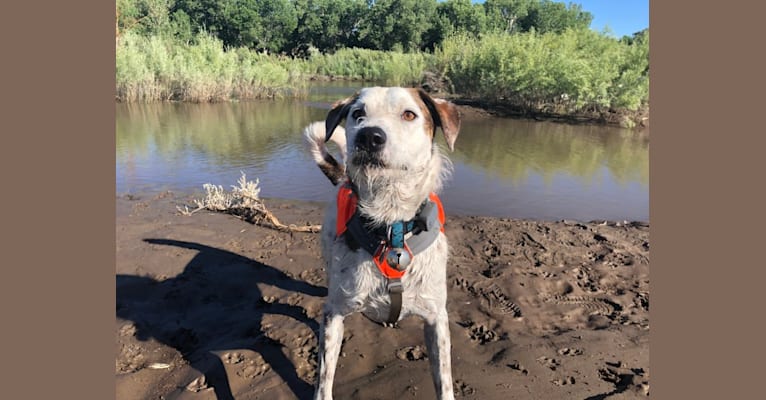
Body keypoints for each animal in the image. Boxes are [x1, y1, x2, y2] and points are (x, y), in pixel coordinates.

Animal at [304, 86, 462, 398]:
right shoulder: (334, 314)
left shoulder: (437, 318)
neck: (390, 227)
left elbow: (444, 378)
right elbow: (325, 377)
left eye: (409, 114)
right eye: (358, 114)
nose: (369, 136)